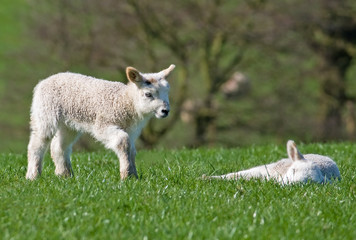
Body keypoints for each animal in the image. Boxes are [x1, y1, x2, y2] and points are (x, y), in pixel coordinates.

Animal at [25, 63, 176, 180]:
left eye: (167, 92)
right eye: (148, 94)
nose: (165, 111)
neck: (126, 102)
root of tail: (43, 81)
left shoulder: (131, 130)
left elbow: (131, 149)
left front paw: (134, 176)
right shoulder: (103, 123)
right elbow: (123, 141)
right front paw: (126, 175)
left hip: (69, 124)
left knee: (59, 146)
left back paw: (65, 175)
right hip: (45, 112)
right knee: (38, 142)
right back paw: (33, 175)